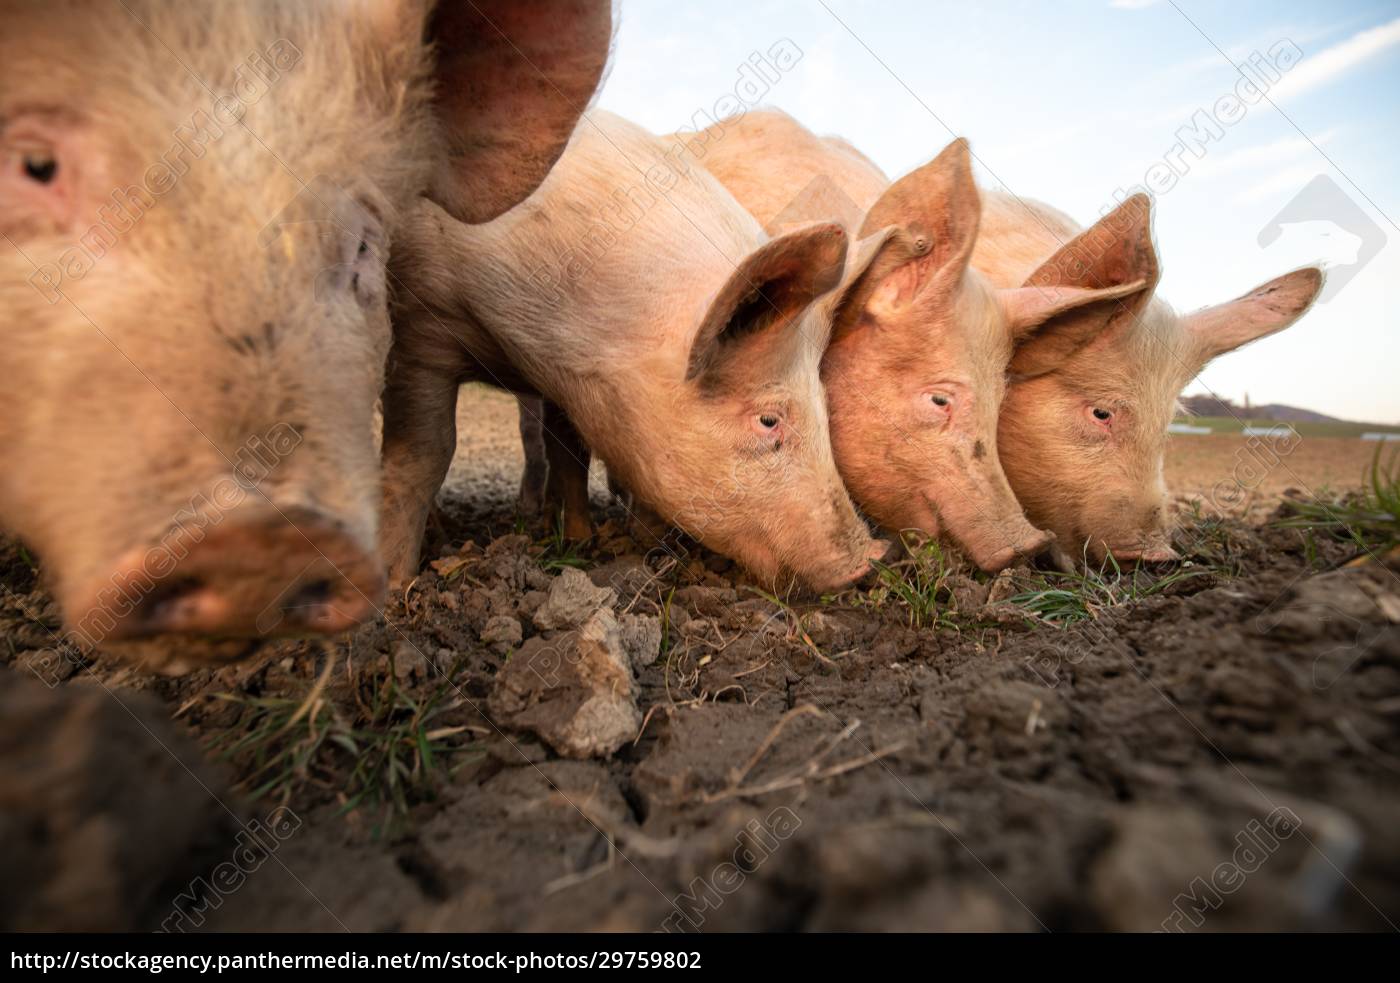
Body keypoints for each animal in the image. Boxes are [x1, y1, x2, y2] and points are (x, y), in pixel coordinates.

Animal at [378, 112, 896, 596]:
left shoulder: (570, 376)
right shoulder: (424, 324)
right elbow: (426, 452)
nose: (870, 557)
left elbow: (570, 451)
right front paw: (397, 584)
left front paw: (583, 541)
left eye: (824, 405)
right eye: (769, 419)